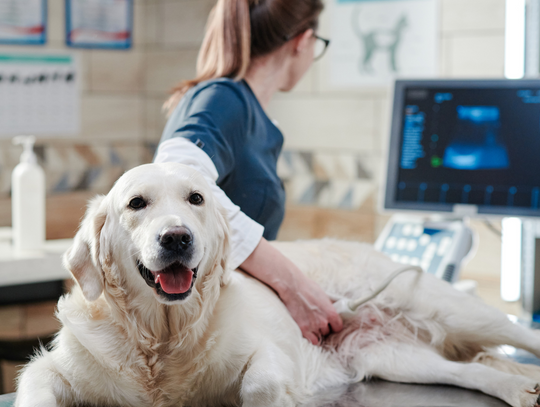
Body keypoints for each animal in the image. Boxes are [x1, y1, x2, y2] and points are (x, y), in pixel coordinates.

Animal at [12, 163, 540, 407]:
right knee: (471, 371)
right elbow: (35, 386)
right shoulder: (54, 368)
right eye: (136, 203)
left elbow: (261, 380)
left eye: (196, 198)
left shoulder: (265, 352)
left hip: (454, 310)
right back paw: (519, 388)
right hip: (392, 357)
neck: (162, 338)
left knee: (515, 338)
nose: (177, 237)